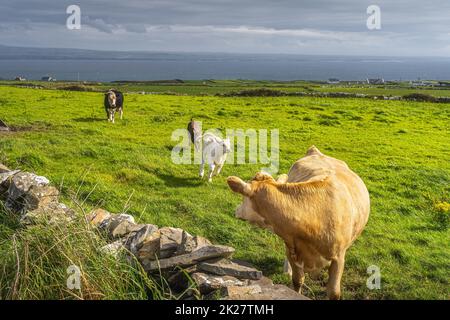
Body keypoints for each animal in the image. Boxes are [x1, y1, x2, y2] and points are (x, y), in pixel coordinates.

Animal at [227, 146, 370, 298]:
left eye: (243, 199)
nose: (236, 210)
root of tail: (316, 151)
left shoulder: (339, 257)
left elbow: (334, 292)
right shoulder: (292, 250)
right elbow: (297, 281)